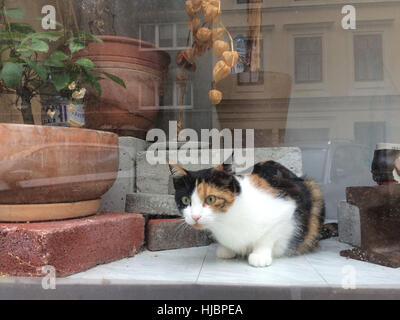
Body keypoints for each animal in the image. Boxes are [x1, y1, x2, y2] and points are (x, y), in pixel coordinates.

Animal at [169, 160, 332, 268]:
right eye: (185, 200)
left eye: (210, 199)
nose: (195, 217)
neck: (226, 220)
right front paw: (227, 249)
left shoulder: (286, 209)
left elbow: (268, 236)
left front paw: (260, 256)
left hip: (314, 189)